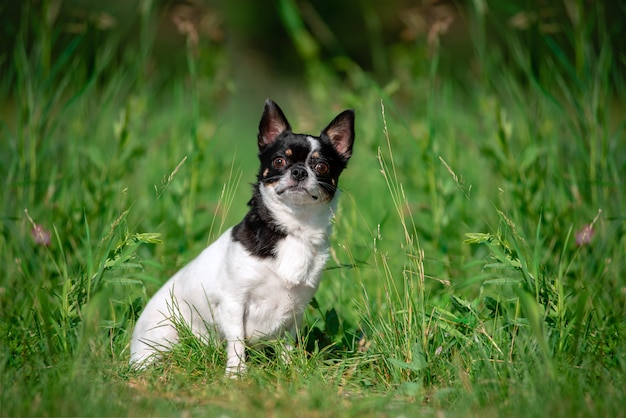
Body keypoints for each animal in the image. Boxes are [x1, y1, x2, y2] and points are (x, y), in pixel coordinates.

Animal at [129, 100, 354, 376]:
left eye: (321, 167)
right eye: (279, 160)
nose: (299, 172)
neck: (294, 228)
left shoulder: (295, 310)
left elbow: (288, 343)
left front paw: (290, 369)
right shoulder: (234, 302)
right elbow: (236, 341)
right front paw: (236, 374)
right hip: (163, 338)